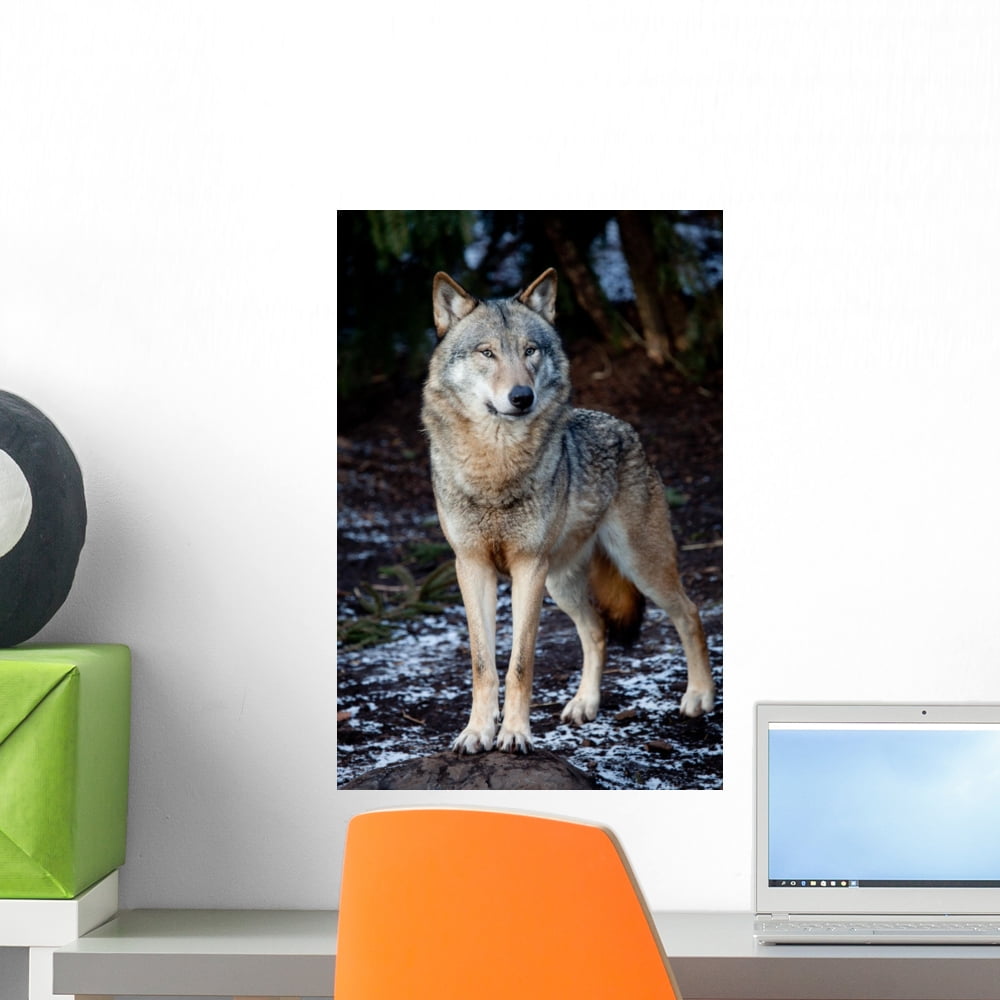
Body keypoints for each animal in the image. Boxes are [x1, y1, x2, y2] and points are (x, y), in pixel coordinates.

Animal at [421, 267, 715, 754]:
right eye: (487, 352)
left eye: (530, 350)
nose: (521, 396)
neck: (495, 465)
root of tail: (627, 428)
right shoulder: (472, 565)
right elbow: (483, 664)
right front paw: (478, 732)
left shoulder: (528, 567)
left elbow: (520, 663)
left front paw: (514, 734)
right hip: (562, 583)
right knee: (596, 631)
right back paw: (585, 704)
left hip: (638, 566)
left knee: (689, 613)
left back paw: (700, 697)